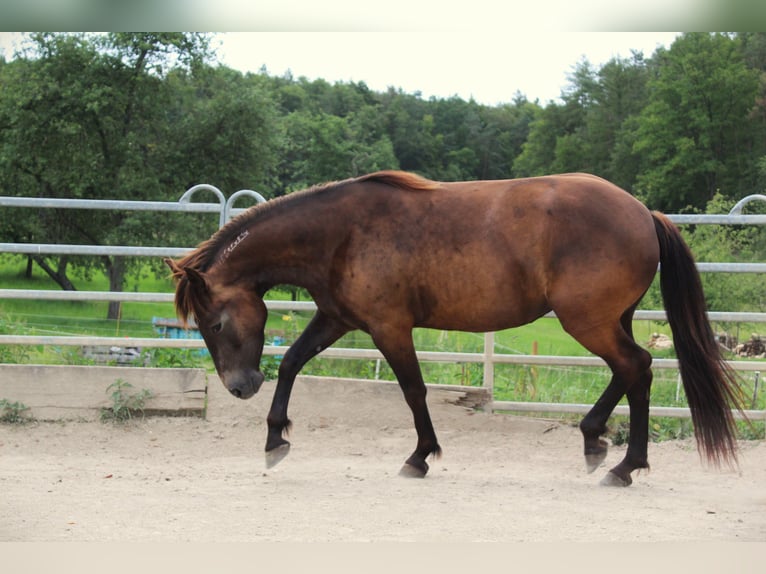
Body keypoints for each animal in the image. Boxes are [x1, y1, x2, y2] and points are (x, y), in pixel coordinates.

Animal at [165, 170, 748, 486]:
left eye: (215, 322)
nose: (240, 387)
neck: (341, 233)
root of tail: (644, 213)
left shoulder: (389, 327)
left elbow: (414, 390)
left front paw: (420, 457)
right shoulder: (337, 319)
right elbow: (290, 362)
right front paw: (274, 438)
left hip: (589, 321)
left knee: (636, 368)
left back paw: (618, 461)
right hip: (610, 320)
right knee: (634, 373)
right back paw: (607, 451)